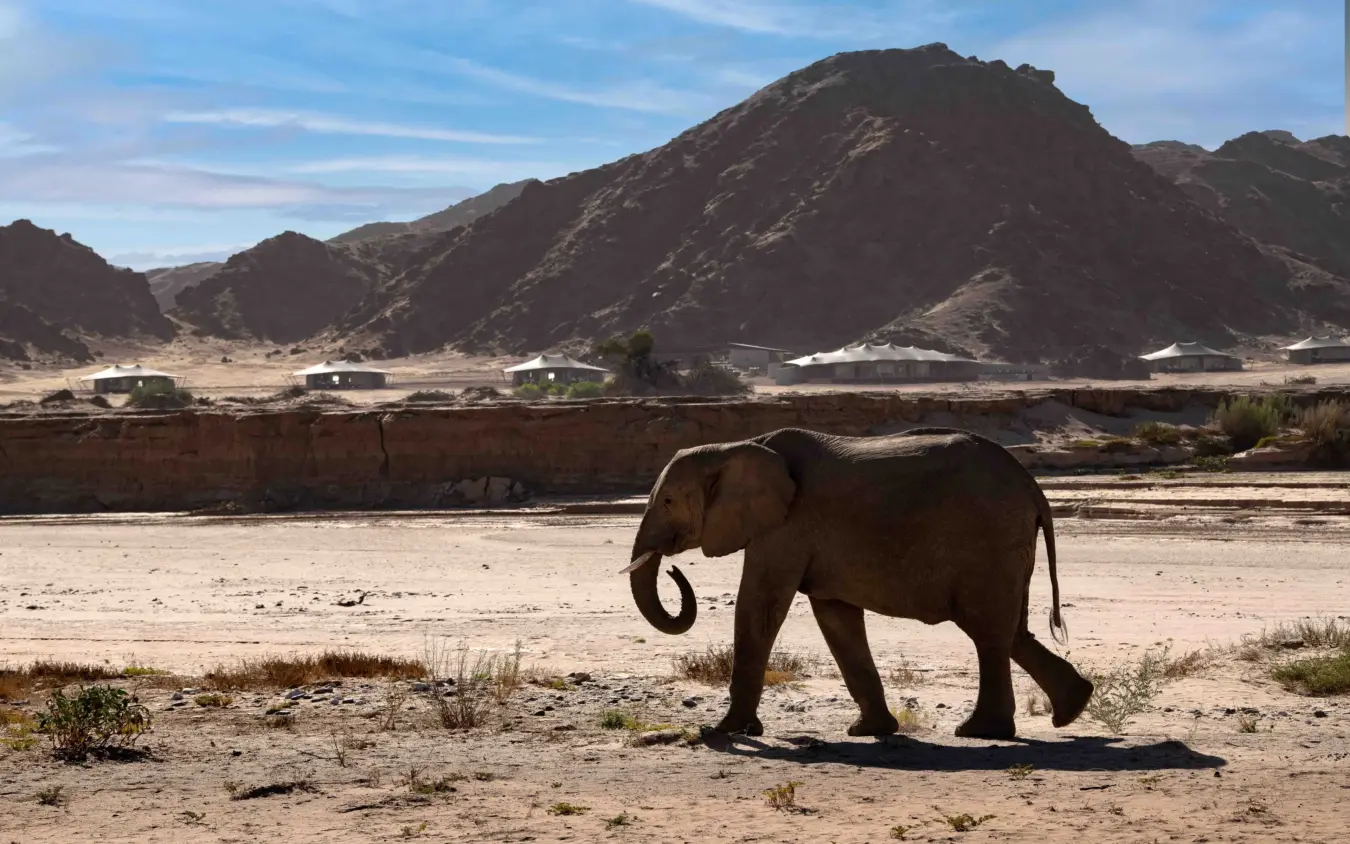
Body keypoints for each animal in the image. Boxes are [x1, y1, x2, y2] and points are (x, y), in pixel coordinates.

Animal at [621, 426, 1094, 740]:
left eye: (667, 501)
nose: (672, 569)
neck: (735, 446)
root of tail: (1032, 486)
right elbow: (835, 617)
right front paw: (869, 730)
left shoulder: (787, 526)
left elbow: (760, 607)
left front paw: (723, 731)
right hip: (1007, 544)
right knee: (1010, 629)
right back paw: (1071, 710)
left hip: (990, 536)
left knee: (987, 629)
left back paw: (980, 731)